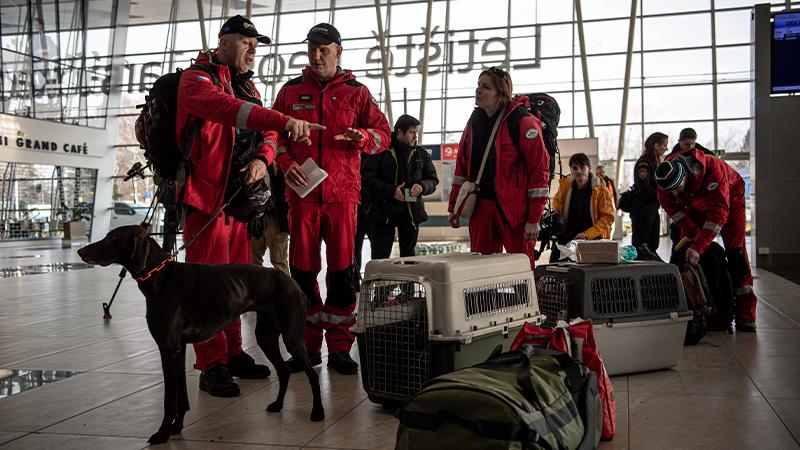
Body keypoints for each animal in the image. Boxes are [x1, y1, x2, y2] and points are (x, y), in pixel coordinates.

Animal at [77, 227, 322, 444]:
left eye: (112, 237)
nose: (80, 251)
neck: (161, 276)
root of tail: (293, 283)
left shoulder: (167, 348)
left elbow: (170, 400)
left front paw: (162, 433)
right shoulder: (179, 348)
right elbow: (182, 396)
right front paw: (176, 427)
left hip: (291, 338)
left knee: (312, 375)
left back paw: (317, 412)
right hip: (266, 337)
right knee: (283, 371)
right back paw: (278, 405)